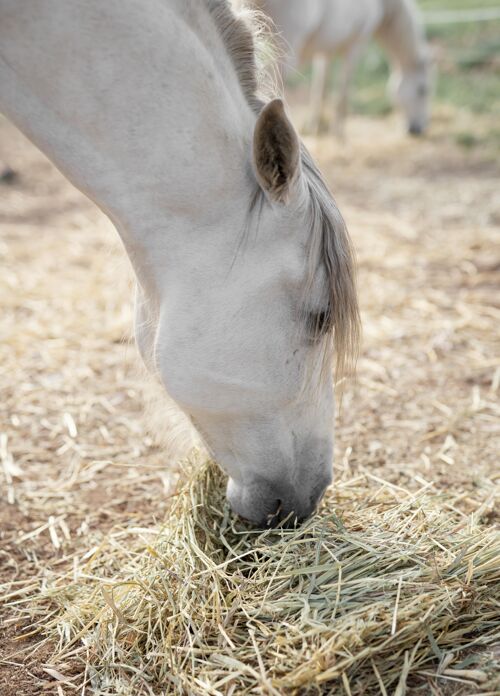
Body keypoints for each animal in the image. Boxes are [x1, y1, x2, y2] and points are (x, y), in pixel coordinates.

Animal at [252, 0, 432, 136]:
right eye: (422, 90)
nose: (418, 129)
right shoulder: (356, 46)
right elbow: (342, 94)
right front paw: (339, 135)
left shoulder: (326, 50)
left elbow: (321, 88)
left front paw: (316, 127)